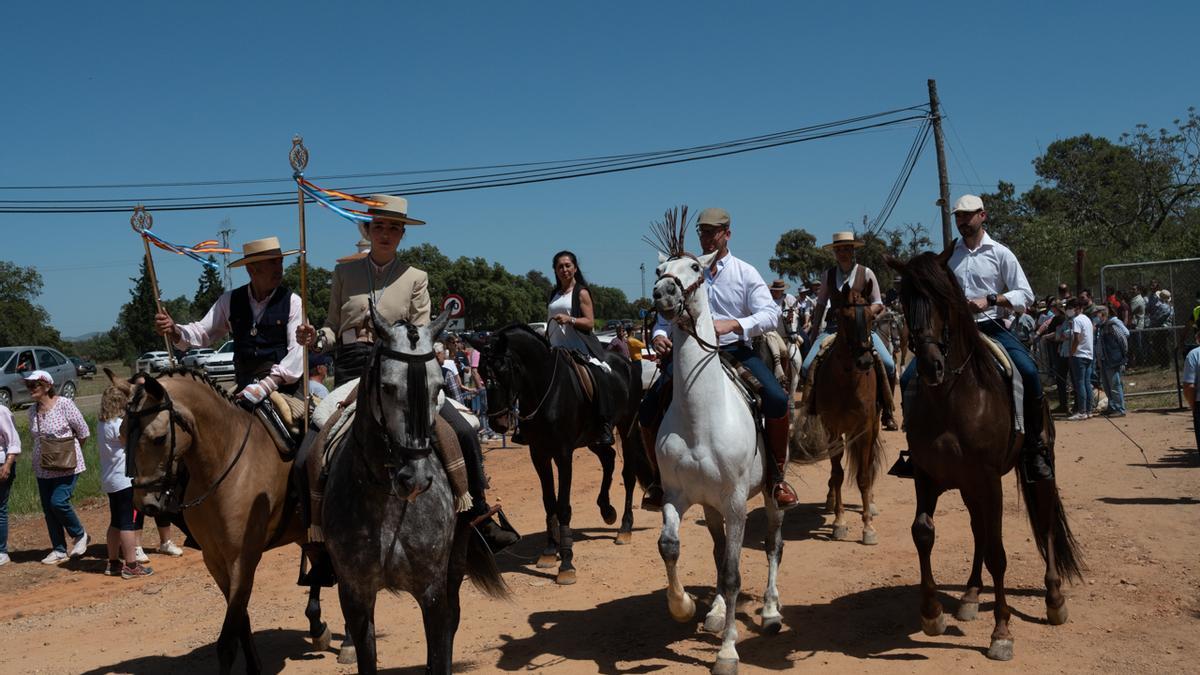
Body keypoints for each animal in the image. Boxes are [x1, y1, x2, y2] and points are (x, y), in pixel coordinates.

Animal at [117, 367, 333, 672]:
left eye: (159, 438)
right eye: (122, 433)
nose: (144, 503)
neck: (224, 464)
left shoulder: (243, 559)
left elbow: (228, 640)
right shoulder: (215, 560)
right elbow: (241, 620)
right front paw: (254, 666)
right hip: (306, 533)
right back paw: (317, 628)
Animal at [472, 324, 652, 581]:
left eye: (505, 370)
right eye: (481, 372)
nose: (498, 423)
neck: (545, 390)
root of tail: (627, 363)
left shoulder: (563, 454)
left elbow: (563, 505)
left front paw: (566, 562)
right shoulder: (539, 454)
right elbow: (549, 502)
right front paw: (549, 551)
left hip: (626, 427)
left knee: (628, 474)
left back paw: (624, 529)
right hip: (593, 438)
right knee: (608, 459)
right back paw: (606, 509)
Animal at [652, 249, 782, 667]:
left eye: (695, 268)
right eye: (659, 270)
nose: (662, 292)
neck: (701, 418)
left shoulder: (737, 503)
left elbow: (732, 573)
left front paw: (727, 651)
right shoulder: (676, 495)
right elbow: (670, 546)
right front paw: (683, 607)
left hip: (771, 495)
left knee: (773, 545)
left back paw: (770, 611)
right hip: (710, 506)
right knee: (719, 549)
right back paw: (717, 611)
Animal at [806, 281, 883, 542]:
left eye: (871, 316)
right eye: (845, 317)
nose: (865, 361)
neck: (849, 382)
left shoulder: (866, 428)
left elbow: (864, 475)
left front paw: (868, 526)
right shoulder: (832, 429)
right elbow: (838, 473)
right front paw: (839, 522)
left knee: (868, 464)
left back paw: (871, 501)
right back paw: (830, 501)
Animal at [888, 249, 1084, 658]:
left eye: (945, 301)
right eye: (906, 302)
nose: (931, 366)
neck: (951, 397)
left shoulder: (989, 480)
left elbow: (998, 551)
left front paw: (1002, 632)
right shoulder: (928, 476)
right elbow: (923, 532)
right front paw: (932, 615)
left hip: (1038, 471)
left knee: (1044, 525)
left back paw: (1054, 600)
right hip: (968, 487)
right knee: (978, 529)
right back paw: (970, 595)